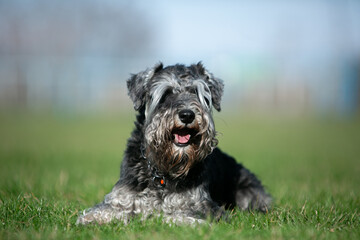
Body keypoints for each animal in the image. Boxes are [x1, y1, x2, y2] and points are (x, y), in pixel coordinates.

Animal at [76, 62, 272, 225]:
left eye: (197, 93)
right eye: (165, 94)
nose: (187, 115)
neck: (162, 171)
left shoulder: (203, 206)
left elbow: (175, 215)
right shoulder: (120, 198)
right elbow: (104, 210)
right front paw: (90, 219)